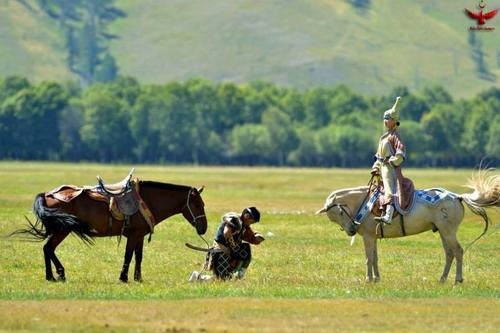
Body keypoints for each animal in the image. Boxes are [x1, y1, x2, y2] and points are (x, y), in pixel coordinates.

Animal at [14, 178, 207, 282]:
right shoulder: (133, 236)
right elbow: (128, 256)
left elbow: (138, 257)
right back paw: (57, 274)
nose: (204, 228)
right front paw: (123, 277)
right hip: (62, 230)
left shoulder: (140, 236)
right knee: (48, 248)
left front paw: (138, 278)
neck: (147, 200)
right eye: (197, 204)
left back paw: (54, 275)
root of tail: (47, 194)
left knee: (47, 249)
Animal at [316, 169, 500, 282]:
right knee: (449, 254)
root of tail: (457, 197)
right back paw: (442, 279)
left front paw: (368, 279)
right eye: (333, 218)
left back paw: (457, 280)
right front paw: (376, 279)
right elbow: (375, 258)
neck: (365, 202)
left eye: (340, 212)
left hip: (448, 232)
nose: (351, 230)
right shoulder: (373, 237)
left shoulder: (368, 237)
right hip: (443, 232)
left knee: (458, 251)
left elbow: (369, 258)